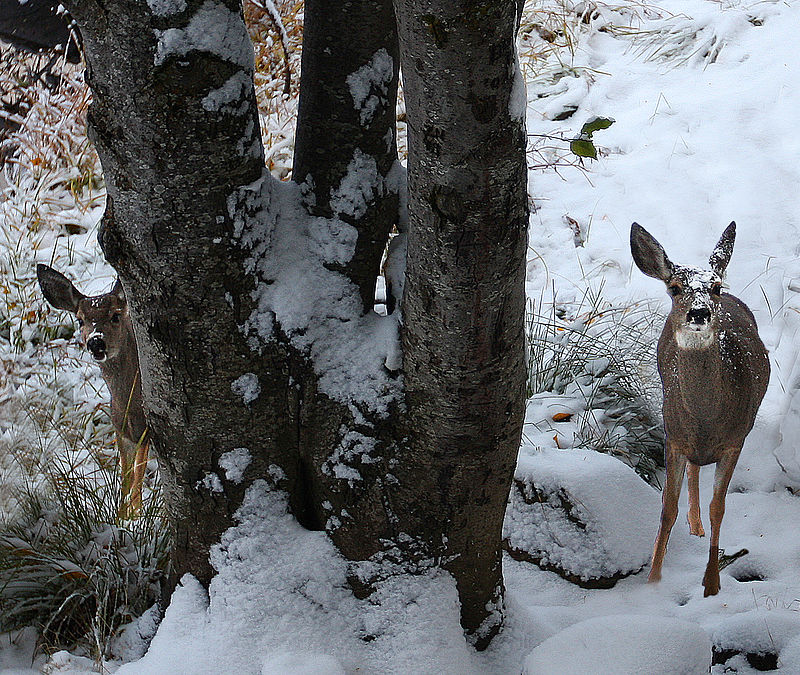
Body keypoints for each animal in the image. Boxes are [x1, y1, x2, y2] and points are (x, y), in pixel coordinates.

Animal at [632, 223, 768, 596]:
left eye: (715, 287)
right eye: (675, 288)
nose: (699, 312)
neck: (707, 419)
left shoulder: (735, 440)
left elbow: (718, 508)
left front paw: (711, 584)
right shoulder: (674, 437)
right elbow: (667, 510)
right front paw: (653, 581)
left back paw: (698, 527)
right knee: (693, 469)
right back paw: (692, 526)